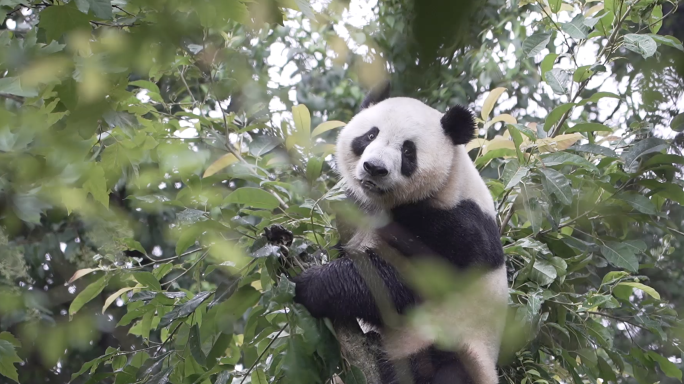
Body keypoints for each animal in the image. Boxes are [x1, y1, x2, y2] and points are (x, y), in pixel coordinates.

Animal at [294, 82, 508, 384]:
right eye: (371, 134)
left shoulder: (460, 226)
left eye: (408, 151)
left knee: (445, 368)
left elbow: (406, 279)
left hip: (460, 349)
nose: (374, 168)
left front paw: (313, 284)